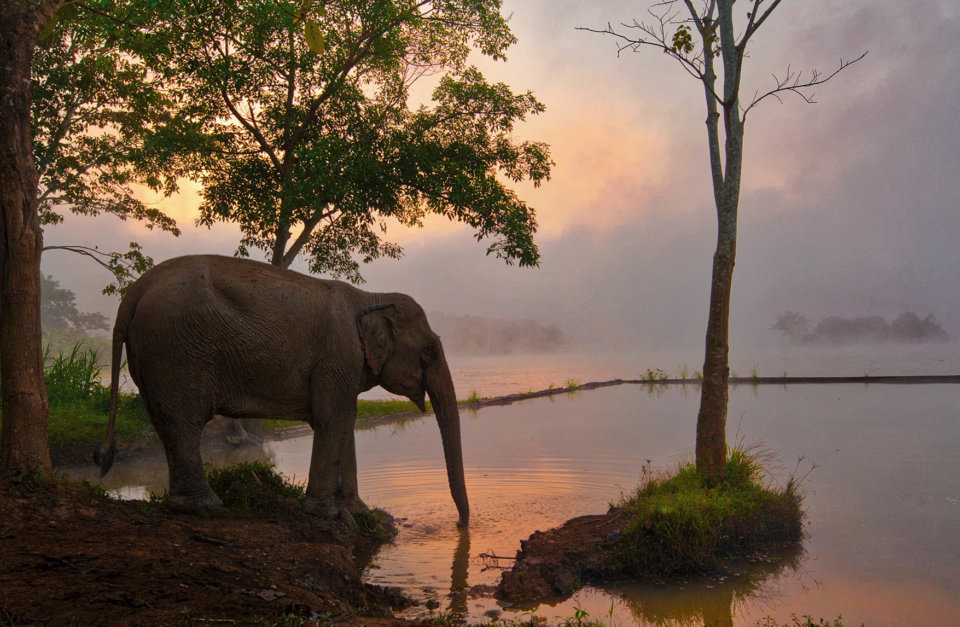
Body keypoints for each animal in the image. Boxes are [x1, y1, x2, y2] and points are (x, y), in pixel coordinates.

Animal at [94, 254, 469, 526]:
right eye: (430, 351)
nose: (461, 524)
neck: (369, 296)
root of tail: (135, 290)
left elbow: (344, 421)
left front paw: (361, 513)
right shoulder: (337, 357)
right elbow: (334, 419)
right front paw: (329, 516)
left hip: (156, 353)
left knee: (166, 423)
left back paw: (188, 504)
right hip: (178, 348)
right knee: (184, 422)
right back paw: (208, 506)